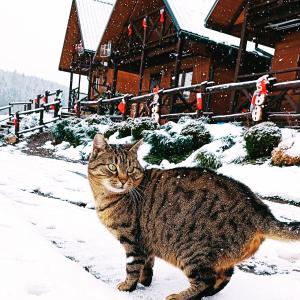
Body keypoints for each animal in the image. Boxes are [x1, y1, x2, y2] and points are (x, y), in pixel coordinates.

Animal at [88, 134, 300, 300]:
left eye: (131, 169)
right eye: (112, 167)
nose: (124, 180)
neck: (105, 197)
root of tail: (260, 209)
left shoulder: (133, 241)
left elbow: (132, 267)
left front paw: (127, 286)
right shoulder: (147, 242)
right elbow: (148, 264)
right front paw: (145, 281)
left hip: (192, 252)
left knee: (206, 281)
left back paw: (180, 296)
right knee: (225, 276)